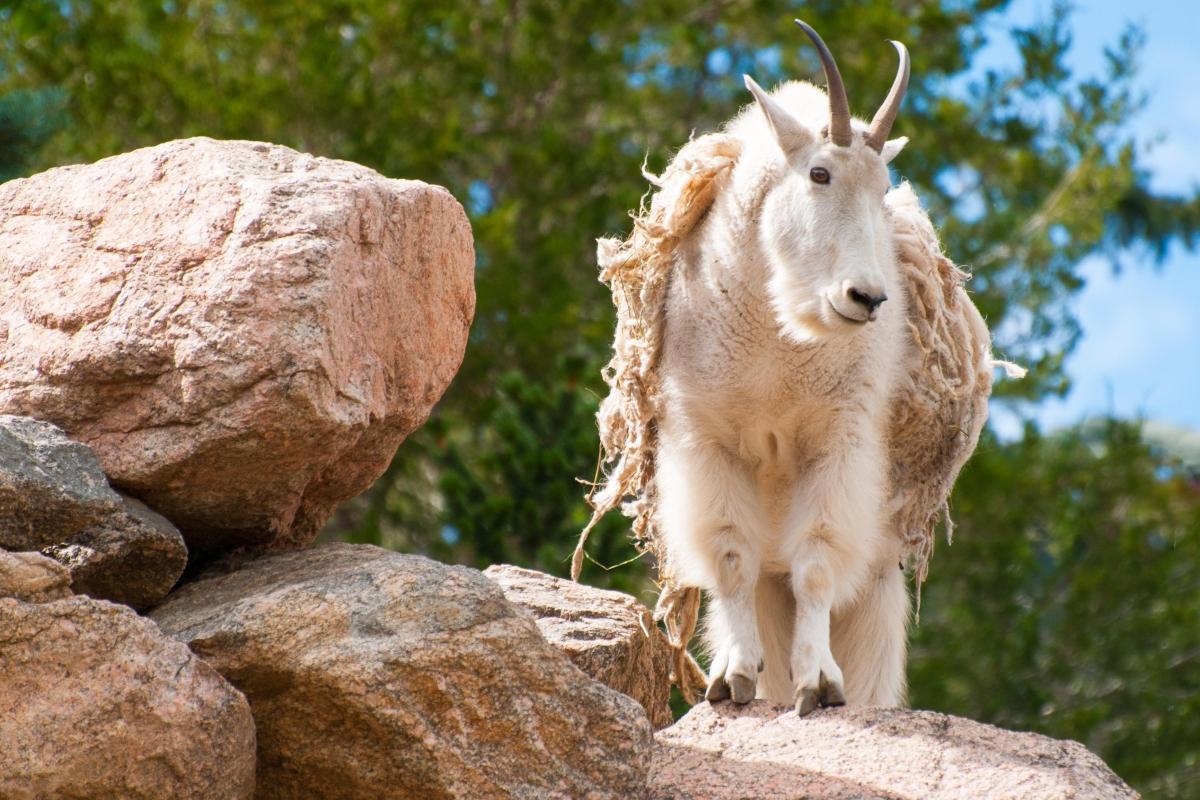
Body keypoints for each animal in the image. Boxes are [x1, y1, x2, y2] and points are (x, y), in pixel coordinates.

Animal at [573, 21, 1012, 714]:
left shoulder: (839, 441)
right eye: (819, 173)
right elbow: (730, 556)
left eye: (883, 190)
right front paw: (732, 678)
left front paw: (820, 682)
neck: (777, 347)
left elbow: (818, 563)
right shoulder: (705, 436)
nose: (867, 298)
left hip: (881, 567)